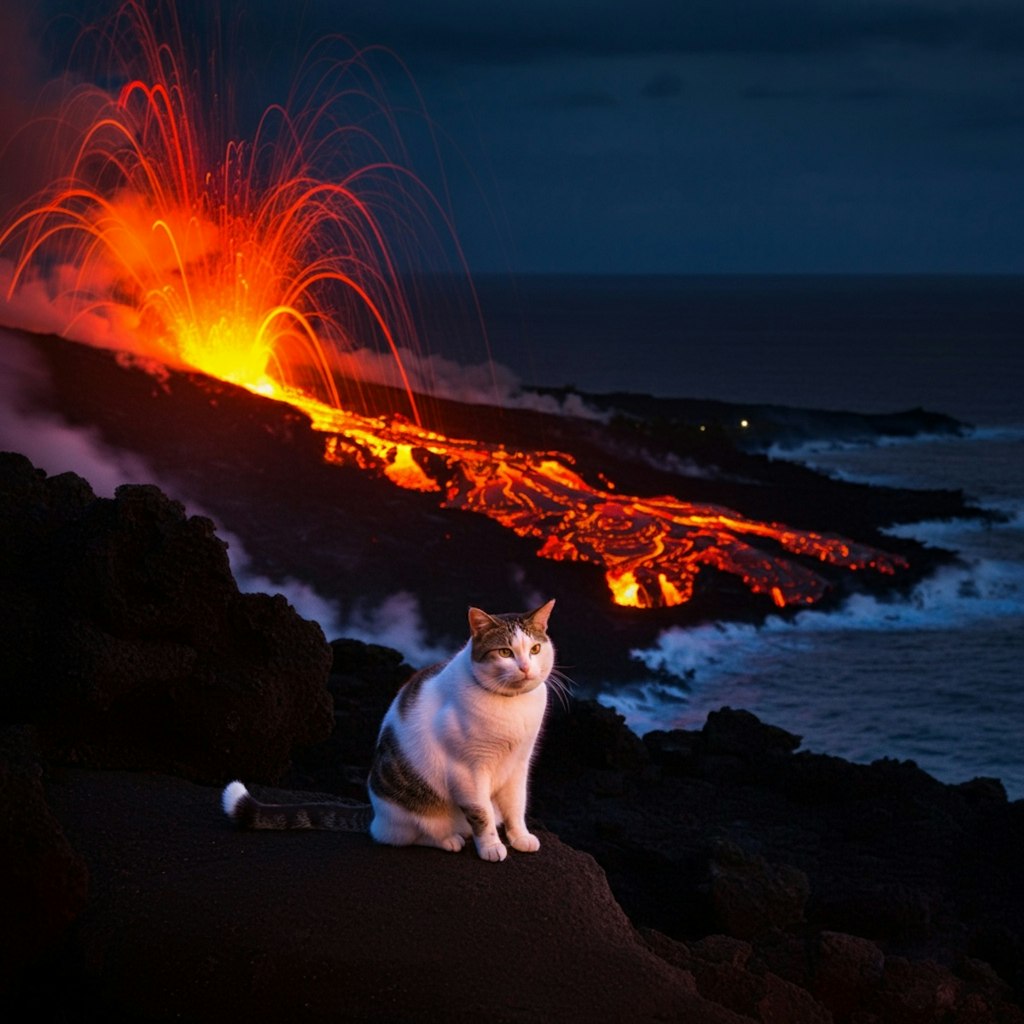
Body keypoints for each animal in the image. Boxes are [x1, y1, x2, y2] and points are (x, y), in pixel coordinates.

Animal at [220, 598, 565, 864]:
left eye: (535, 649)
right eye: (505, 653)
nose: (525, 668)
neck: (512, 706)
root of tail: (374, 812)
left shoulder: (519, 764)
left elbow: (517, 805)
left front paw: (520, 837)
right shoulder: (468, 770)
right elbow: (481, 813)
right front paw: (491, 845)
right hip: (409, 812)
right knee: (403, 836)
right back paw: (448, 839)